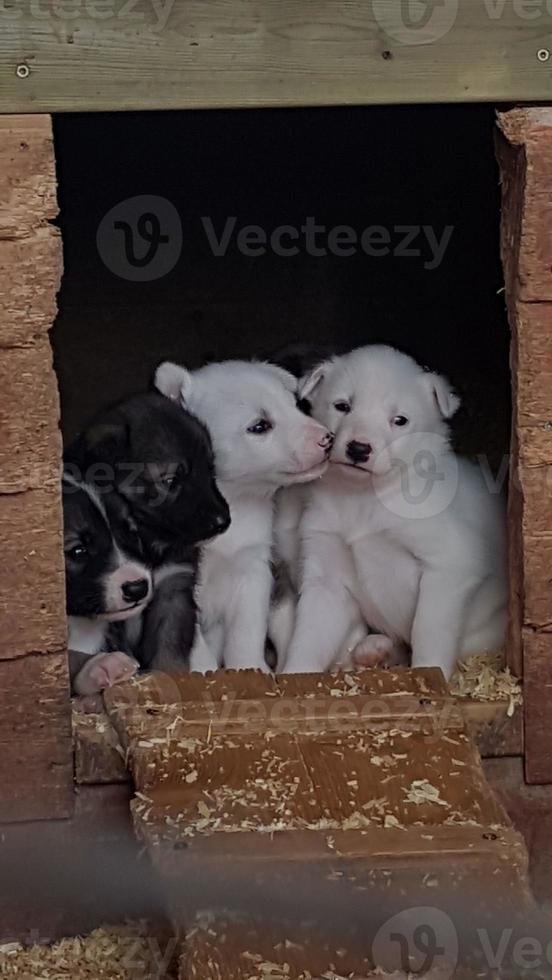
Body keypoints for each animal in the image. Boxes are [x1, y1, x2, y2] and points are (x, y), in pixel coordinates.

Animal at [64, 390, 231, 672]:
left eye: (210, 471)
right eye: (171, 480)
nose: (224, 521)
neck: (150, 545)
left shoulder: (173, 588)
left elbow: (169, 652)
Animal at [153, 360, 332, 672]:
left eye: (295, 405)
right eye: (259, 426)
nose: (326, 439)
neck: (232, 500)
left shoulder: (250, 556)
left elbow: (247, 623)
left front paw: (251, 668)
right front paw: (205, 672)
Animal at [282, 346, 506, 680]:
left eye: (400, 420)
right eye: (342, 406)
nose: (359, 449)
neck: (363, 499)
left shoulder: (450, 567)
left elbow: (428, 630)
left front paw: (429, 675)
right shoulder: (326, 576)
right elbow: (308, 637)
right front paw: (292, 677)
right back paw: (373, 648)